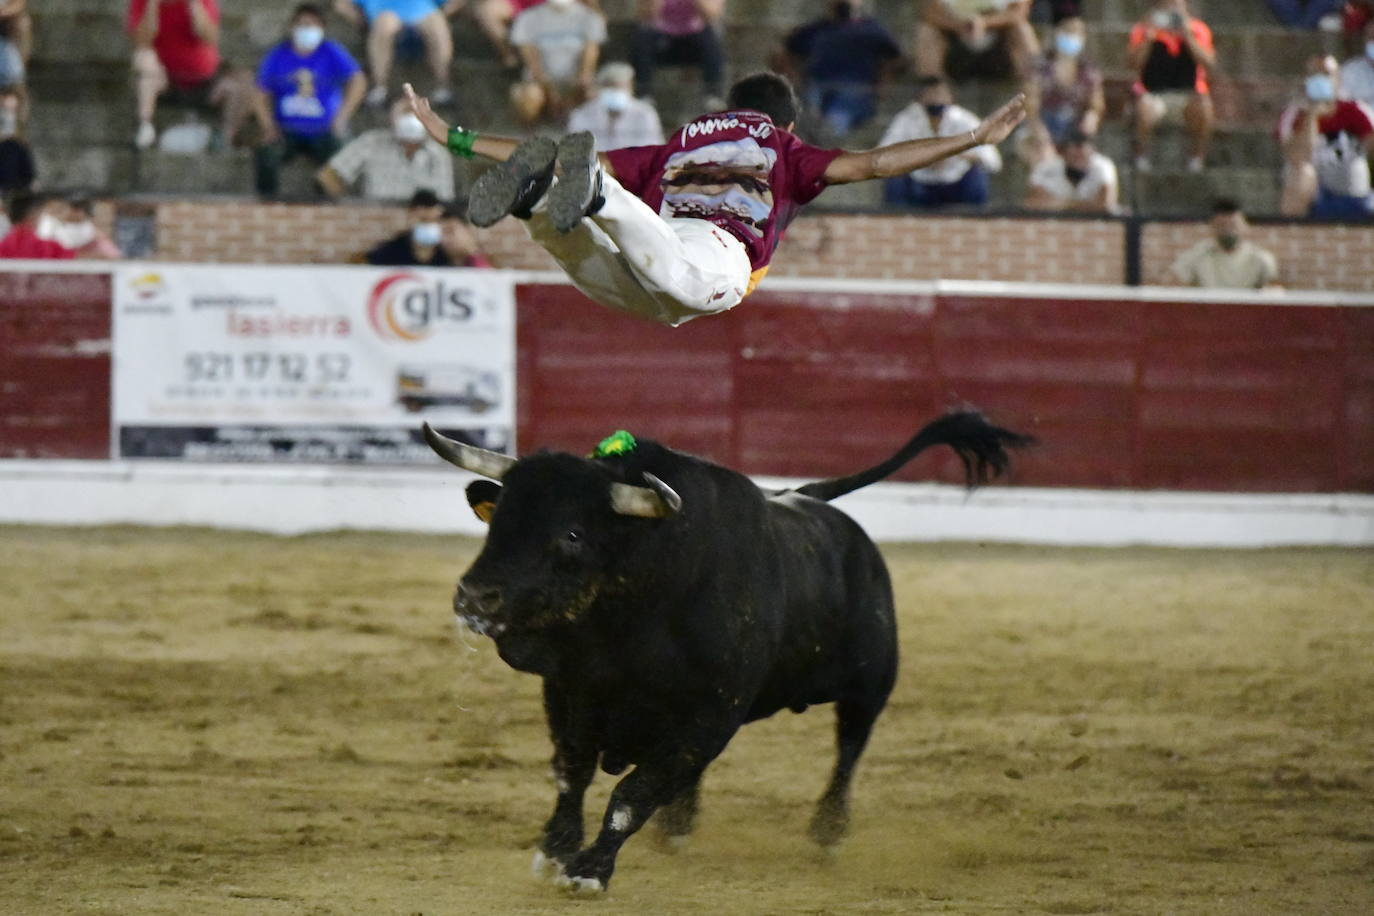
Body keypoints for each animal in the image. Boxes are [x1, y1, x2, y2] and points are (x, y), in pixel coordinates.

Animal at [425, 411, 1033, 889]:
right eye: (500, 518)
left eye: (572, 534)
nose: (475, 596)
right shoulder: (570, 691)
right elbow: (571, 773)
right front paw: (555, 851)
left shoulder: (711, 714)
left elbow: (631, 795)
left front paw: (590, 870)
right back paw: (678, 827)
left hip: (870, 686)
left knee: (848, 750)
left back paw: (828, 833)